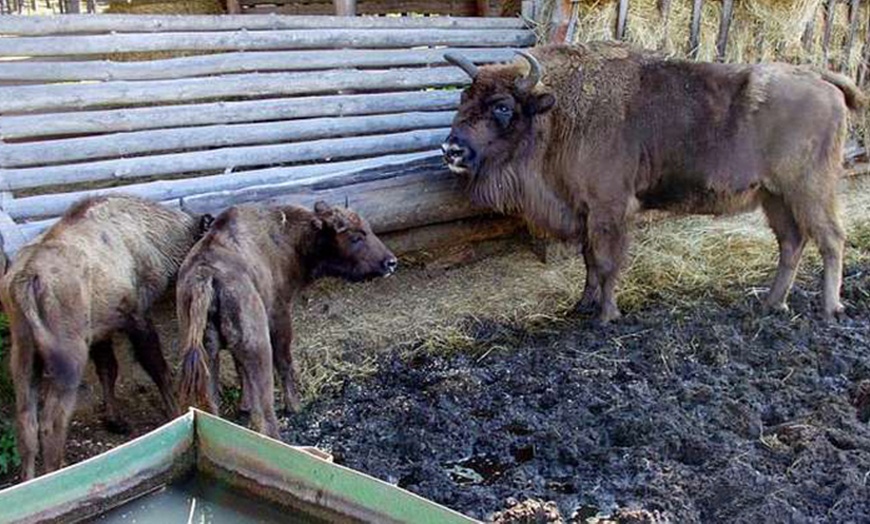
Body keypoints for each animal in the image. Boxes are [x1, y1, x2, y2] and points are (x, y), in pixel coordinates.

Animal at [0, 195, 211, 478]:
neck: (162, 243)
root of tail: (24, 281)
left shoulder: (100, 332)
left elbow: (109, 369)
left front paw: (115, 419)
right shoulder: (137, 315)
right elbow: (158, 368)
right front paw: (175, 412)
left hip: (24, 354)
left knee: (26, 422)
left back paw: (28, 478)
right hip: (69, 356)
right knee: (51, 422)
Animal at [177, 201, 398, 438]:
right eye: (355, 237)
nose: (391, 262)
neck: (290, 238)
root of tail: (206, 275)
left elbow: (240, 369)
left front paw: (244, 406)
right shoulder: (280, 315)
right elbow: (284, 362)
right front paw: (295, 407)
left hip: (208, 357)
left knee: (212, 409)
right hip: (258, 348)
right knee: (265, 414)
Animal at [446, 44, 868, 324]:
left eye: (502, 106)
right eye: (464, 99)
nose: (452, 148)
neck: (558, 112)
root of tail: (820, 78)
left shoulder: (610, 209)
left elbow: (606, 262)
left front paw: (606, 315)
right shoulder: (586, 212)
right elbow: (589, 260)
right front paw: (584, 304)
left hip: (809, 190)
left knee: (831, 239)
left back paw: (830, 309)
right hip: (774, 196)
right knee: (792, 242)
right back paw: (771, 303)